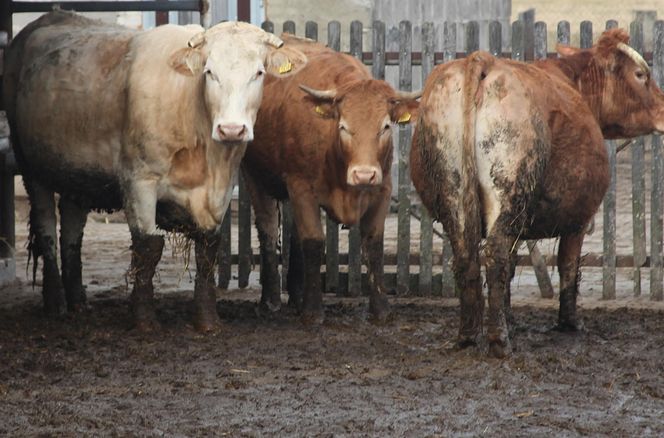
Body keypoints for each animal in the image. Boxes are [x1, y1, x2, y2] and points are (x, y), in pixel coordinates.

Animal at [2, 10, 308, 332]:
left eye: (259, 73)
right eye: (209, 72)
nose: (232, 129)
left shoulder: (220, 190)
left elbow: (207, 247)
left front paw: (207, 320)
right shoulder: (139, 181)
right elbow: (147, 247)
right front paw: (145, 320)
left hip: (76, 175)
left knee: (71, 230)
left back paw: (77, 302)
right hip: (31, 170)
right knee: (47, 228)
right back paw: (56, 303)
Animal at [241, 35, 418, 322]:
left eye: (385, 127)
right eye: (343, 126)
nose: (364, 174)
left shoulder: (382, 189)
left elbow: (374, 244)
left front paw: (380, 308)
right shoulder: (301, 186)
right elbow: (313, 241)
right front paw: (313, 311)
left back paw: (296, 296)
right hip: (255, 176)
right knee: (268, 229)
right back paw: (270, 300)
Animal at [410, 26, 664, 356]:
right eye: (640, 74)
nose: (663, 111)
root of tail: (483, 61)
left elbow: (512, 267)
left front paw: (510, 316)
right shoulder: (578, 220)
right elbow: (568, 266)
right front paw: (569, 323)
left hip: (458, 195)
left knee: (469, 257)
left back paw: (468, 335)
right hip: (510, 189)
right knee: (496, 255)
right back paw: (499, 340)